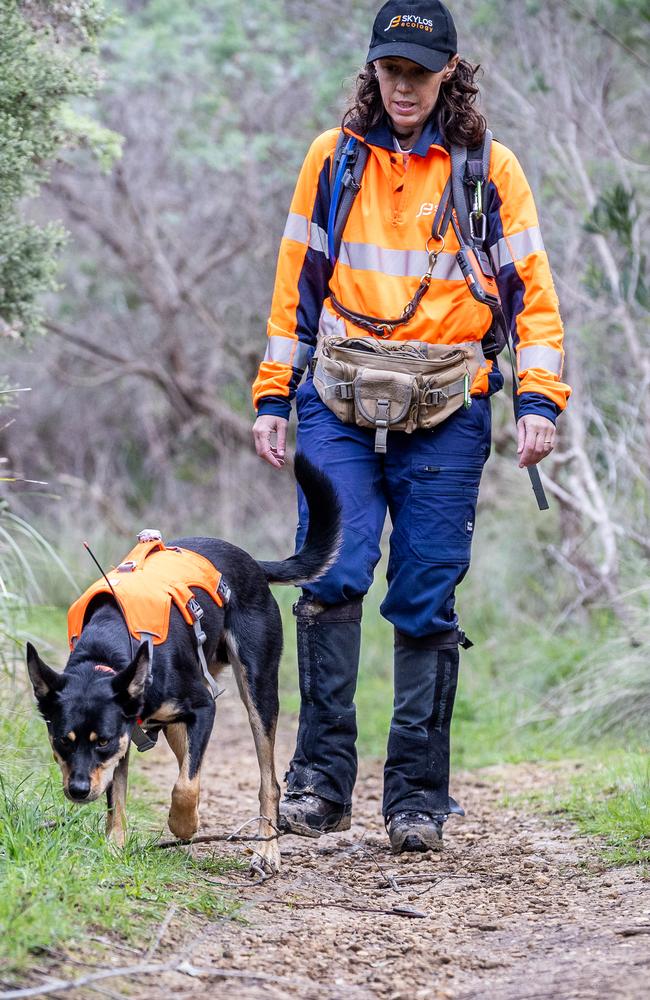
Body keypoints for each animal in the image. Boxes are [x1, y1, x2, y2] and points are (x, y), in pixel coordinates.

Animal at [25, 458, 340, 872]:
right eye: (63, 740)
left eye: (102, 741)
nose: (77, 790)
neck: (108, 652)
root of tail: (251, 562)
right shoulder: (130, 731)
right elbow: (118, 797)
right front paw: (115, 847)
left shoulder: (202, 709)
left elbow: (185, 785)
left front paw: (183, 823)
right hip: (180, 720)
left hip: (257, 688)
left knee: (267, 781)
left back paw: (267, 849)